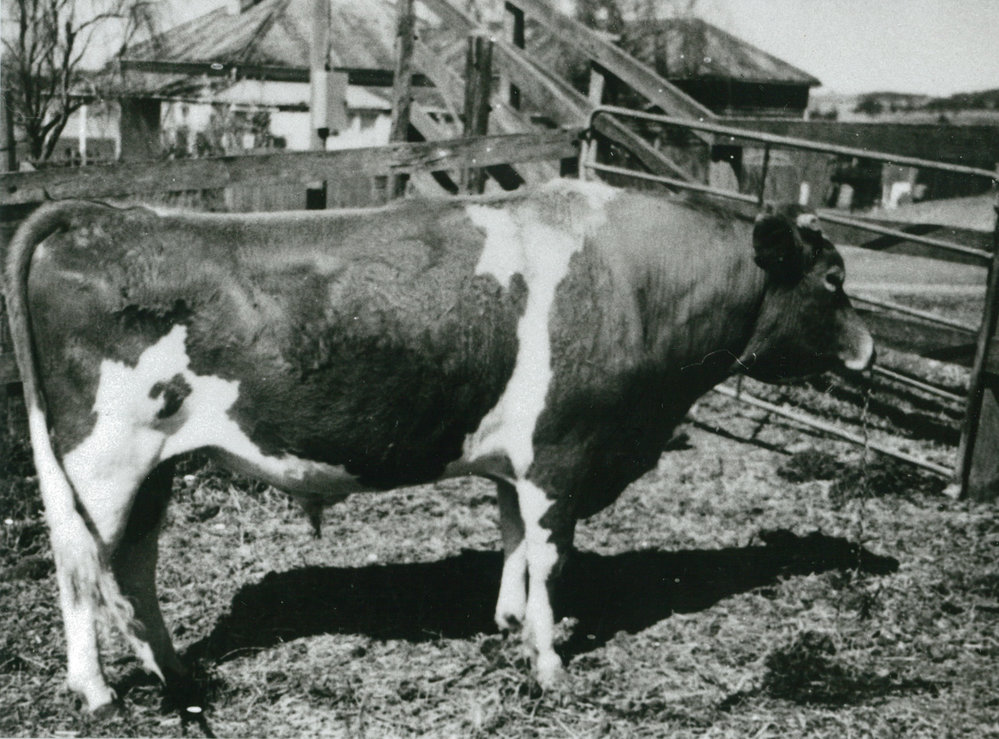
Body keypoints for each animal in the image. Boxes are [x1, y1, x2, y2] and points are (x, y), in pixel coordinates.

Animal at [5, 179, 873, 713]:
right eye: (832, 278)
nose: (868, 348)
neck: (634, 279)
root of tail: (107, 216)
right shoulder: (562, 452)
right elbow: (551, 555)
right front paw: (549, 660)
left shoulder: (520, 464)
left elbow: (514, 538)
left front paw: (509, 621)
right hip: (103, 462)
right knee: (80, 568)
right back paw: (97, 689)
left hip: (153, 468)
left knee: (132, 566)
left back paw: (174, 668)